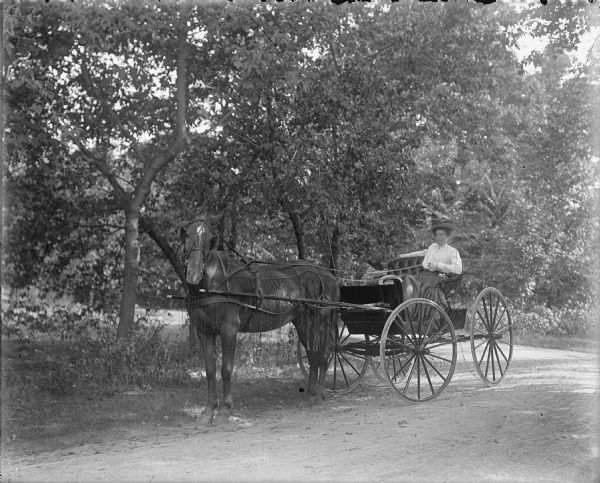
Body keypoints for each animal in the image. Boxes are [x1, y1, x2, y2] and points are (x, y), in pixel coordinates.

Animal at [180, 215, 340, 424]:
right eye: (186, 235)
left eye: (208, 240)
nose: (193, 273)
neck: (214, 281)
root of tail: (329, 275)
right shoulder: (205, 332)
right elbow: (209, 370)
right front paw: (208, 412)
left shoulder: (229, 330)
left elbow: (226, 369)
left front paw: (225, 411)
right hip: (304, 322)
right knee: (313, 354)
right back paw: (309, 396)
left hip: (321, 320)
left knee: (324, 354)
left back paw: (320, 395)